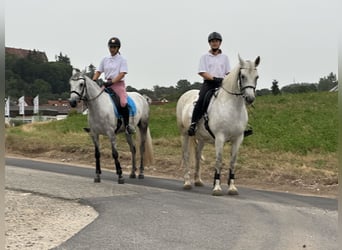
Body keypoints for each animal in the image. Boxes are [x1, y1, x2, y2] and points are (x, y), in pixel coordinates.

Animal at [176, 54, 260, 195]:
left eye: (257, 76)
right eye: (242, 76)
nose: (250, 98)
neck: (232, 107)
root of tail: (186, 94)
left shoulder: (238, 138)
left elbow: (233, 162)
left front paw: (232, 187)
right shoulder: (220, 138)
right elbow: (219, 161)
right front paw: (217, 187)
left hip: (201, 138)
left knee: (197, 155)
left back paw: (197, 180)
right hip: (184, 134)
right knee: (186, 155)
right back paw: (187, 182)